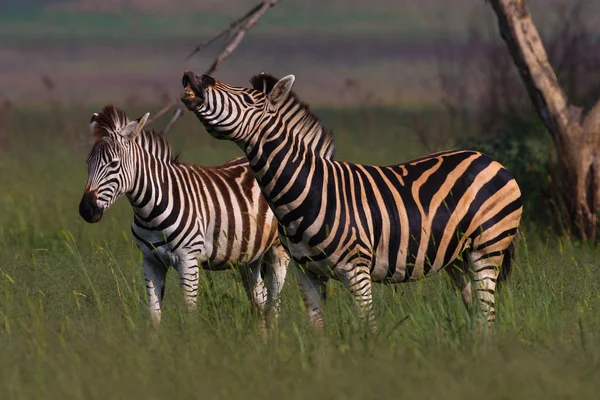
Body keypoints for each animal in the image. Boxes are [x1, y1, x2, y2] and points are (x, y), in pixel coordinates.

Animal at [78, 104, 290, 330]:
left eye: (114, 164)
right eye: (87, 163)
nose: (86, 210)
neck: (149, 212)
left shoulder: (188, 260)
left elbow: (190, 314)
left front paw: (191, 340)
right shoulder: (151, 261)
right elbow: (154, 315)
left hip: (278, 249)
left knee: (273, 305)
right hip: (251, 255)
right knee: (259, 302)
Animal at [179, 70, 524, 330]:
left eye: (248, 98)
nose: (193, 76)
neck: (308, 191)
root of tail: (489, 159)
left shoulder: (357, 271)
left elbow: (367, 327)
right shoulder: (308, 274)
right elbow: (317, 331)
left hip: (486, 250)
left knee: (487, 314)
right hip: (457, 258)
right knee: (475, 313)